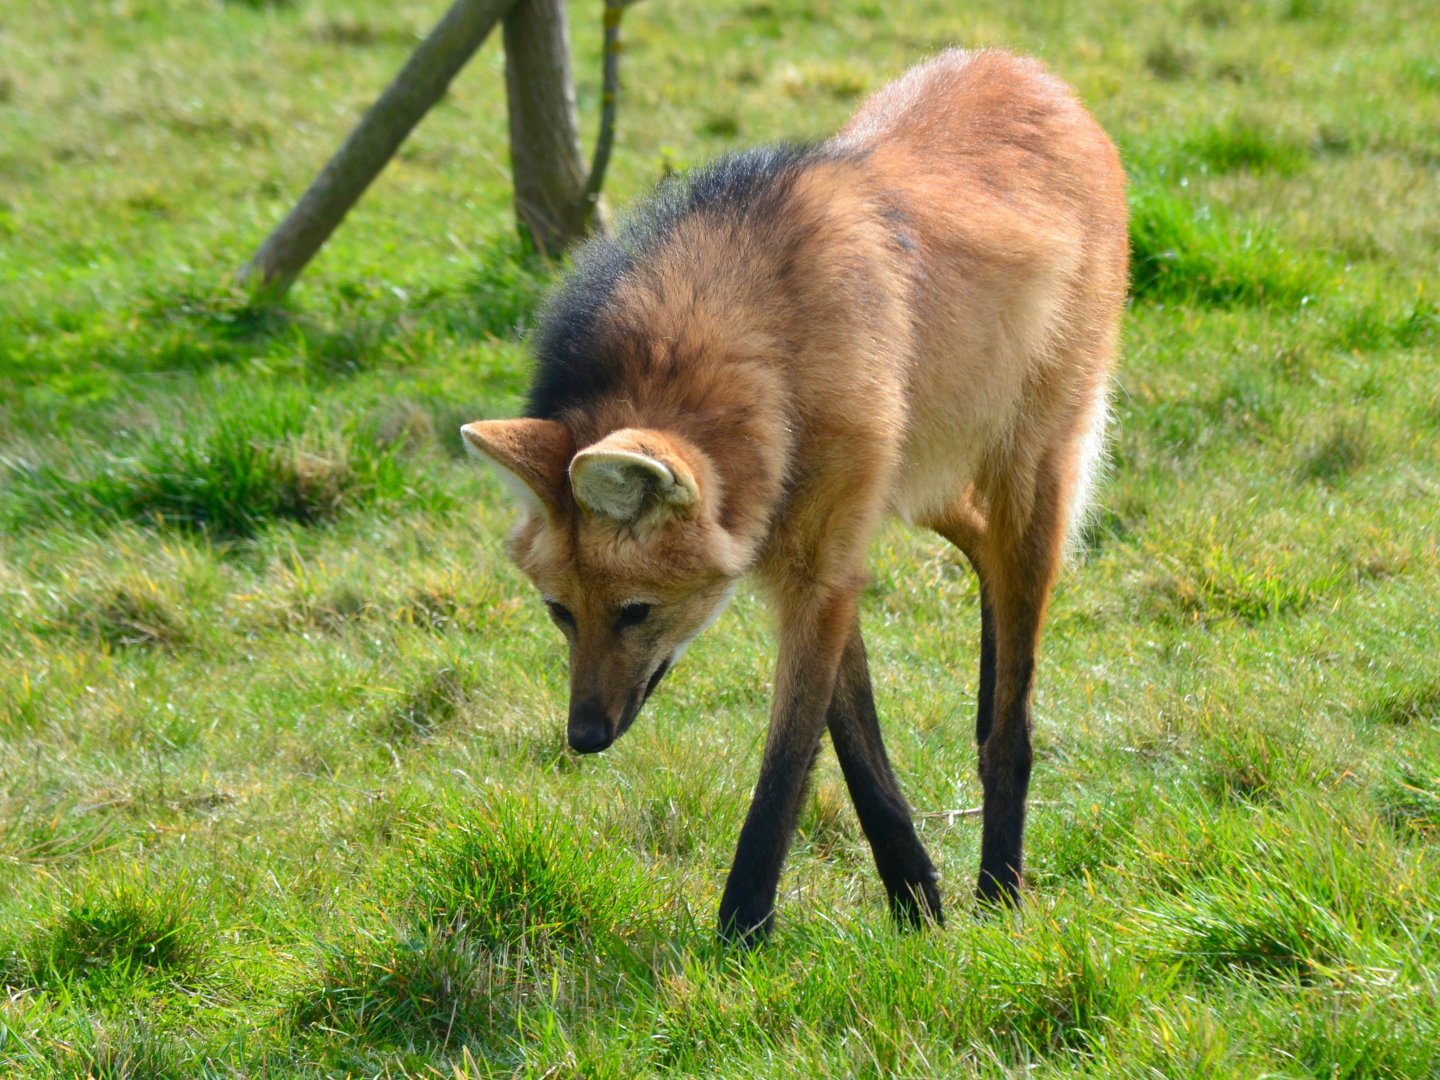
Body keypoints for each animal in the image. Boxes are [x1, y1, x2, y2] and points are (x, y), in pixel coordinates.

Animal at [462, 48, 1128, 941]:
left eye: (635, 612)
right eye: (559, 613)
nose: (585, 737)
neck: (773, 355)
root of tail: (1030, 72)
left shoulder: (818, 567)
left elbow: (785, 767)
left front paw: (738, 935)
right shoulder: (815, 552)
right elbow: (857, 751)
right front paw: (918, 903)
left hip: (1030, 468)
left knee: (1012, 708)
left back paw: (1001, 888)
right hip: (924, 478)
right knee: (981, 548)